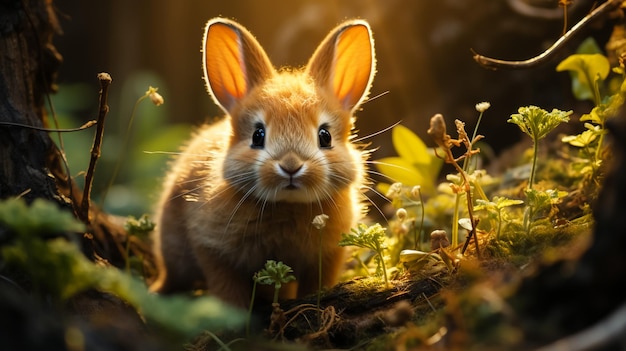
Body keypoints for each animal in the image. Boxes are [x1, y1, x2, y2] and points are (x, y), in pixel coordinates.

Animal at [150, 17, 376, 308]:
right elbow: (226, 285)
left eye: (324, 136)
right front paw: (233, 314)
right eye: (258, 135)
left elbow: (317, 284)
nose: (291, 166)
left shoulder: (327, 256)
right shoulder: (212, 248)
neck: (287, 206)